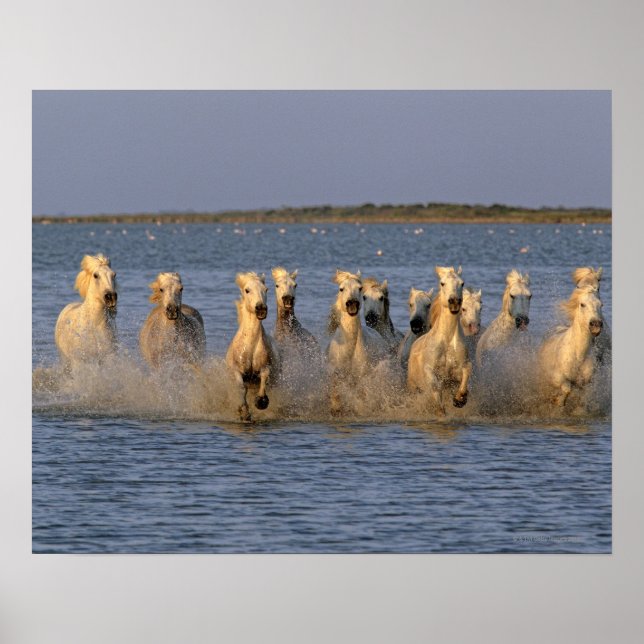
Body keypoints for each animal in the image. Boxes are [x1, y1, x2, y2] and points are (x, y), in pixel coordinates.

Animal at [225, 272, 280, 421]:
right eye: (247, 290)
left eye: (266, 289)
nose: (261, 309)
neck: (250, 346)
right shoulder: (237, 370)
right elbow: (241, 388)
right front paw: (244, 412)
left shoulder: (265, 367)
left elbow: (264, 379)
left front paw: (261, 402)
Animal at [326, 270, 389, 412]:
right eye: (341, 289)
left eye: (359, 288)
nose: (352, 304)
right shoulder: (336, 376)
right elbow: (336, 401)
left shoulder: (361, 378)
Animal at [407, 266, 471, 412]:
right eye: (442, 283)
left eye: (462, 283)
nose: (454, 302)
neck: (447, 340)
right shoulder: (430, 371)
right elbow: (436, 388)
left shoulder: (459, 369)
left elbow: (467, 372)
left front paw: (459, 399)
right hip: (413, 388)